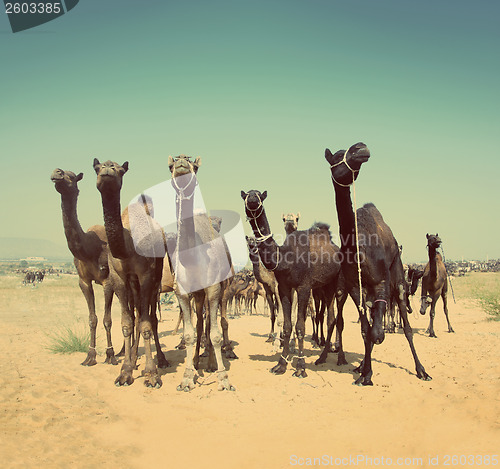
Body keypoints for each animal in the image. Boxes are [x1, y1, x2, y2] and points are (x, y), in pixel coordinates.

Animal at [51, 168, 119, 366]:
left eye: (72, 177)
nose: (57, 173)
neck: (89, 248)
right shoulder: (84, 281)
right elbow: (92, 319)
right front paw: (90, 356)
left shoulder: (108, 282)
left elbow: (107, 319)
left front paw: (111, 355)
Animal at [92, 159, 166, 386]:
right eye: (97, 167)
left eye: (120, 169)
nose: (108, 171)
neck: (128, 245)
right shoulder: (119, 278)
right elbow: (127, 323)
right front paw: (125, 371)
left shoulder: (147, 275)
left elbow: (146, 324)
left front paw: (151, 374)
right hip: (133, 284)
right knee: (136, 316)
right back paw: (133, 360)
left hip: (156, 277)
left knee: (151, 317)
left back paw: (162, 359)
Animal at [168, 155, 234, 390]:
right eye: (170, 165)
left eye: (194, 166)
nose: (181, 163)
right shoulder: (182, 292)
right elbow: (189, 334)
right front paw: (187, 376)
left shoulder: (213, 288)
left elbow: (214, 334)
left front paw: (223, 378)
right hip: (197, 295)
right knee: (199, 324)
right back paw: (197, 361)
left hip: (220, 289)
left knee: (212, 323)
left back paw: (213, 363)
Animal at [242, 188, 344, 374]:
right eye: (246, 195)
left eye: (259, 195)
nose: (252, 199)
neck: (284, 258)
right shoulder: (284, 288)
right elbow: (288, 325)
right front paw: (281, 364)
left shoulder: (303, 287)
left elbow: (300, 326)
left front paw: (301, 367)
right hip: (324, 286)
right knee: (331, 318)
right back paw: (323, 356)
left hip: (337, 285)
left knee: (336, 319)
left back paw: (338, 357)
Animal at [324, 143, 430, 384]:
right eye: (337, 156)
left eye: (353, 150)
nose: (360, 148)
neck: (358, 250)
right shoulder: (356, 287)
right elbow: (366, 331)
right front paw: (365, 373)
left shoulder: (382, 281)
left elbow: (377, 333)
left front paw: (368, 373)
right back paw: (361, 365)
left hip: (397, 275)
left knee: (406, 325)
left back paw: (421, 370)